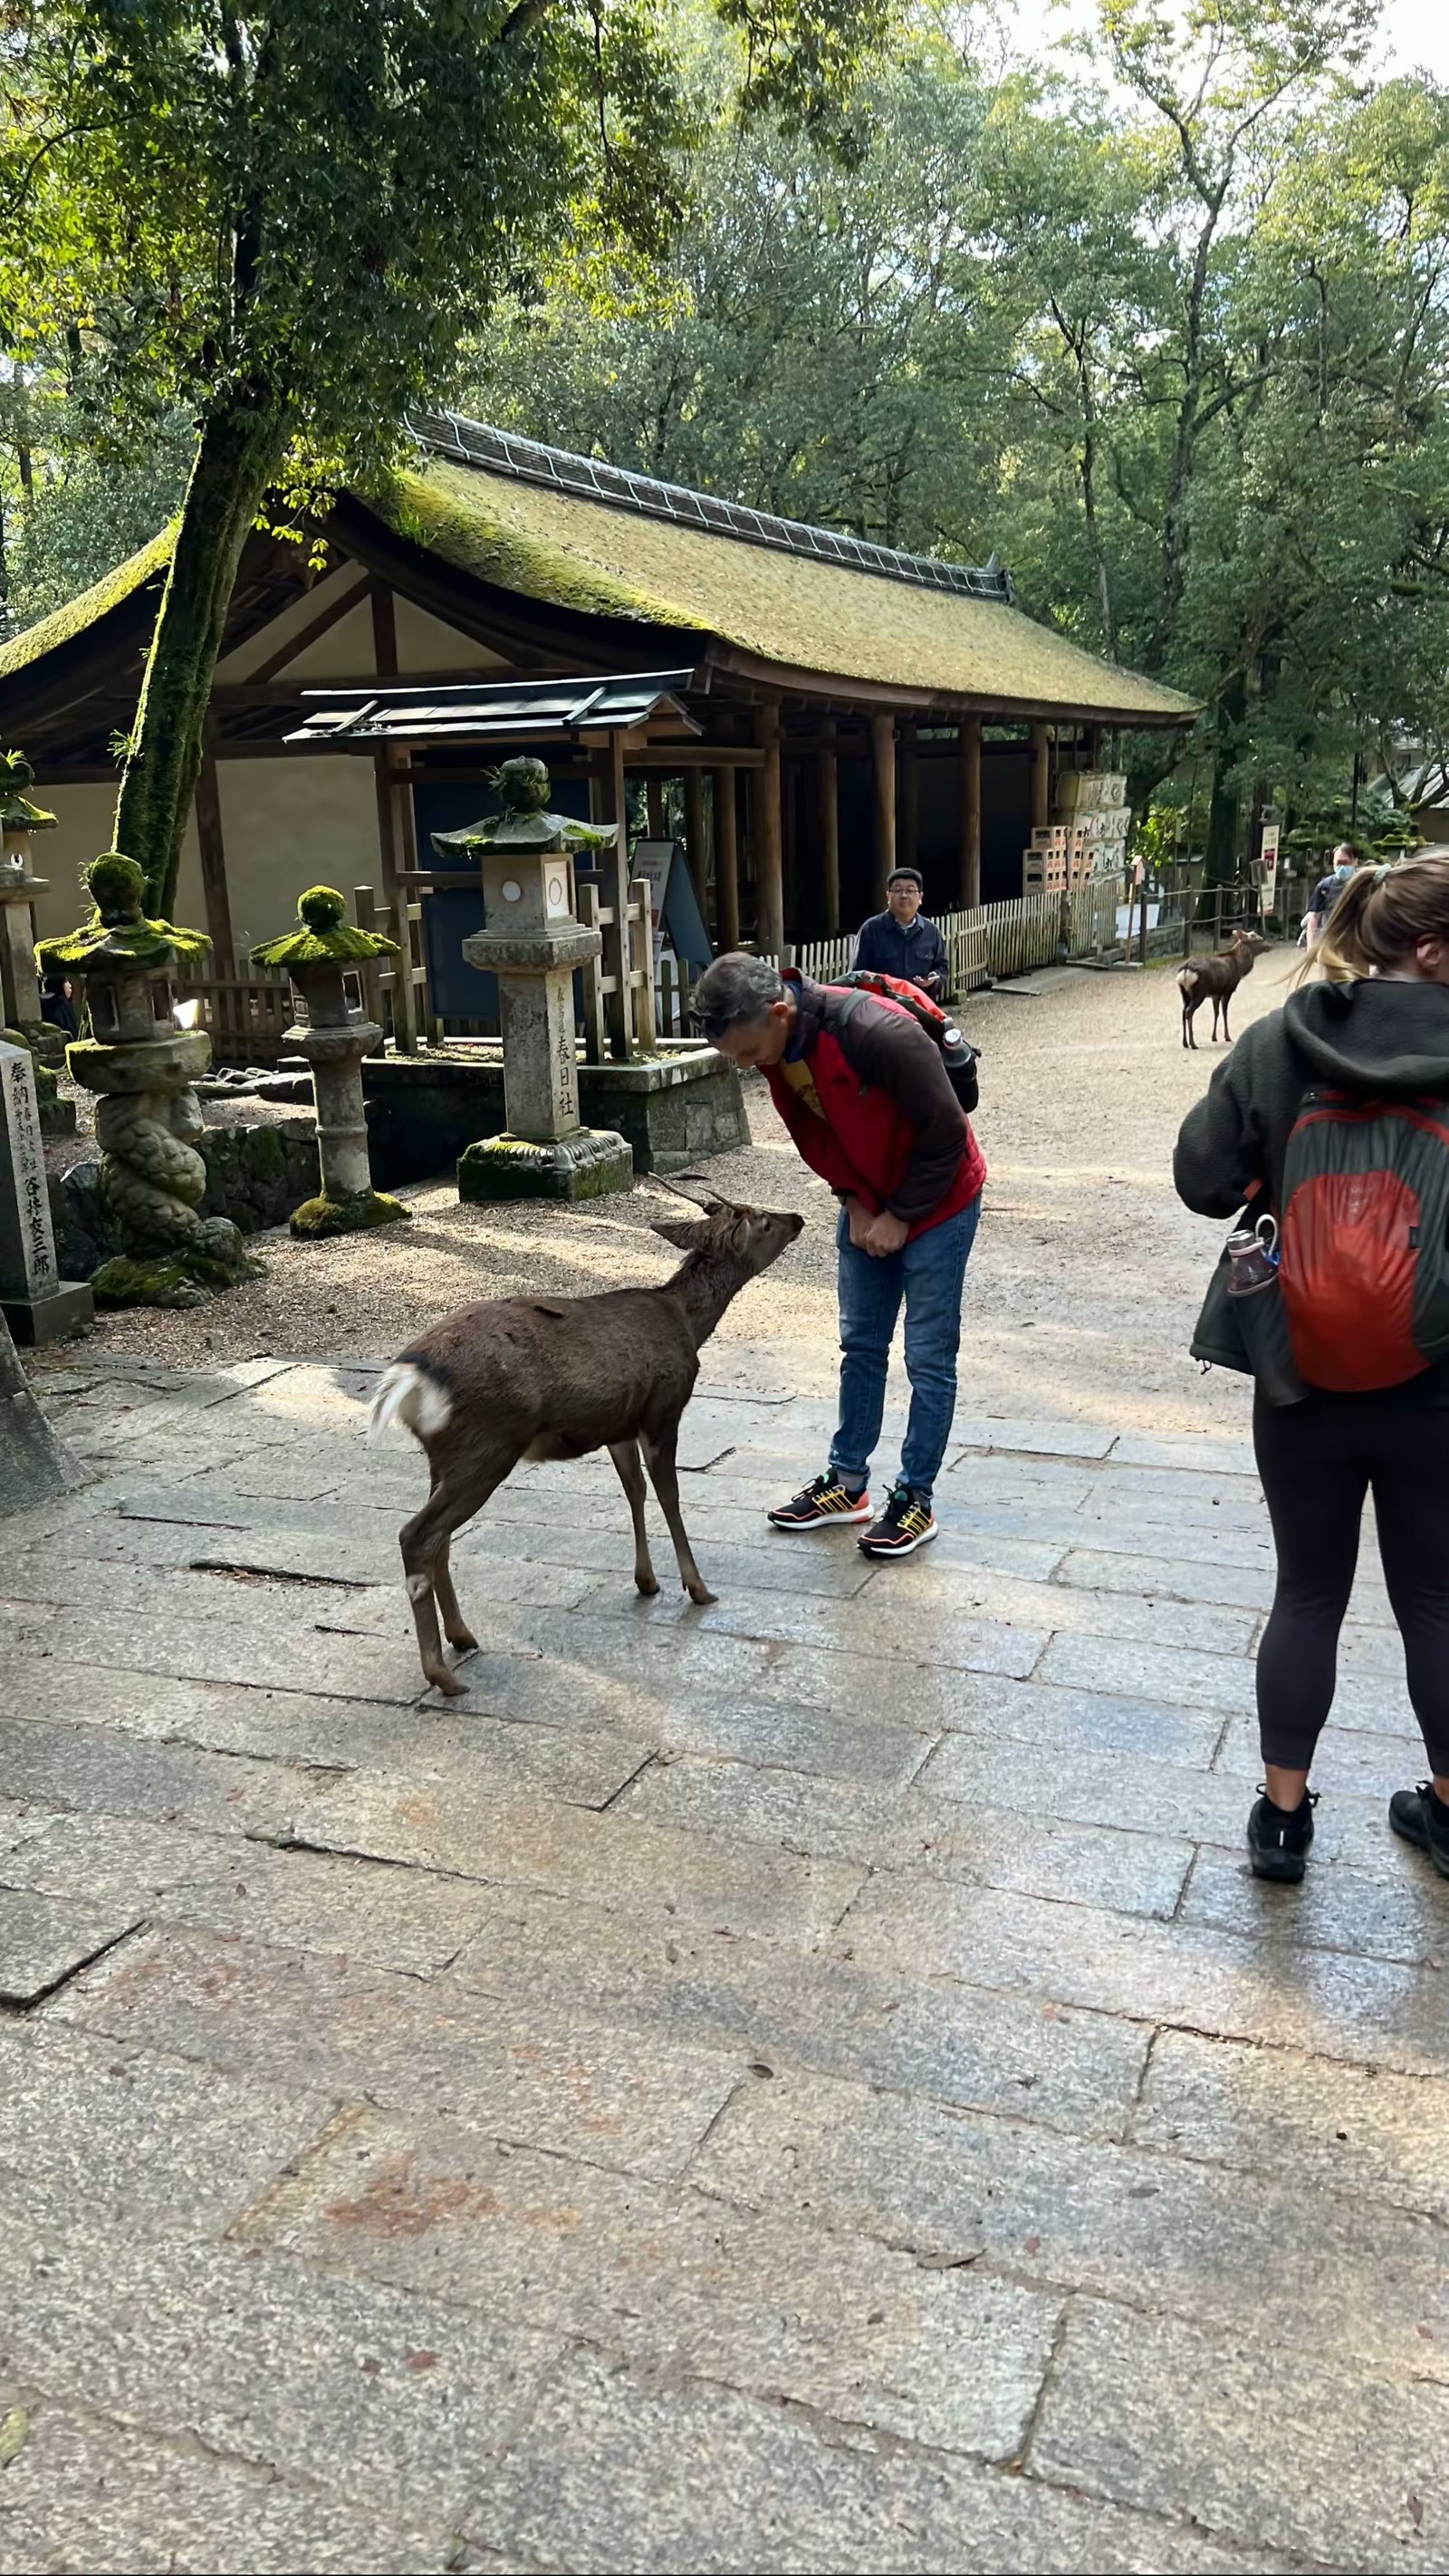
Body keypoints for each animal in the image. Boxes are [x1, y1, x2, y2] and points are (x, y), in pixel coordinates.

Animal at [368, 1186, 804, 1695]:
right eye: (761, 1221)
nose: (797, 1218)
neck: (688, 1326)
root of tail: (407, 1378)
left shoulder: (619, 1427)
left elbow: (634, 1492)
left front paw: (646, 1581)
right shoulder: (663, 1411)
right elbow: (670, 1496)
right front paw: (697, 1587)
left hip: (445, 1455)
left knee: (439, 1538)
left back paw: (462, 1636)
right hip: (488, 1443)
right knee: (417, 1534)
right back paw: (441, 1673)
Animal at [1177, 928, 1271, 1049]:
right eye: (1258, 939)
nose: (1270, 945)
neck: (1240, 968)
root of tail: (1185, 969)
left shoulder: (1216, 994)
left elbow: (1216, 1013)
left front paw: (1214, 1037)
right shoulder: (1228, 989)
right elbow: (1225, 1012)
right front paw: (1227, 1037)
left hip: (1184, 993)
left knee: (1183, 1011)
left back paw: (1185, 1043)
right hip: (1199, 992)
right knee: (1189, 1012)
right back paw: (1193, 1043)